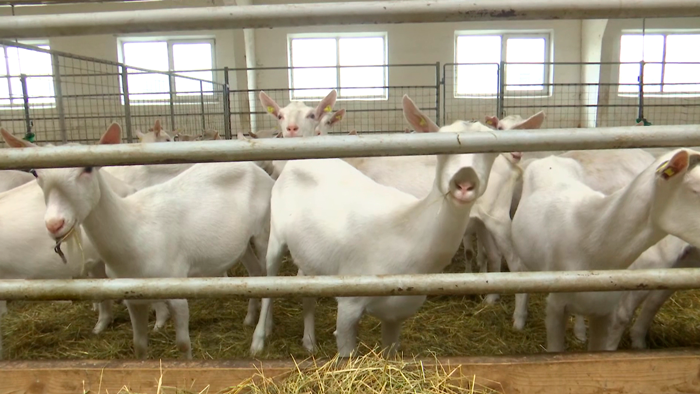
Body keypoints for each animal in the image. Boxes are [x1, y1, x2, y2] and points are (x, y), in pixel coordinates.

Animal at [11, 124, 274, 360]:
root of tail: (257, 169)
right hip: (242, 243)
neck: (133, 229)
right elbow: (138, 346)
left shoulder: (176, 287)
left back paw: (260, 336)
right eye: (36, 173)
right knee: (255, 274)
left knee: (269, 277)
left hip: (264, 231)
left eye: (88, 168)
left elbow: (183, 344)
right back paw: (250, 318)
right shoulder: (132, 296)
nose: (54, 224)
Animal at [252, 95, 504, 358]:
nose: (465, 182)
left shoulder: (396, 313)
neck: (408, 229)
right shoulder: (349, 302)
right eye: (440, 150)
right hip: (275, 234)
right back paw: (259, 339)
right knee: (268, 282)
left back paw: (309, 341)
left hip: (310, 254)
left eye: (492, 153)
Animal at [512, 149, 700, 352]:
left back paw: (580, 331)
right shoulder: (555, 307)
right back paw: (519, 320)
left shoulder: (605, 312)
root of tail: (551, 158)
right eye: (696, 190)